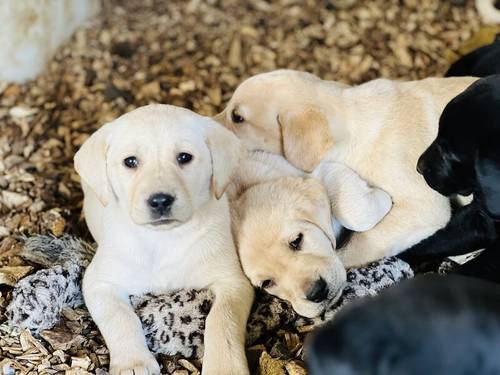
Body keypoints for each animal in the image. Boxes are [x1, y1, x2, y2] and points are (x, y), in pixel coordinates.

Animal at [74, 105, 254, 375]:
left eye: (184, 157)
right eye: (130, 162)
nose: (160, 201)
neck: (163, 239)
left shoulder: (233, 281)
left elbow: (223, 319)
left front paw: (224, 368)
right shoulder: (99, 282)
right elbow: (120, 317)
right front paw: (133, 363)